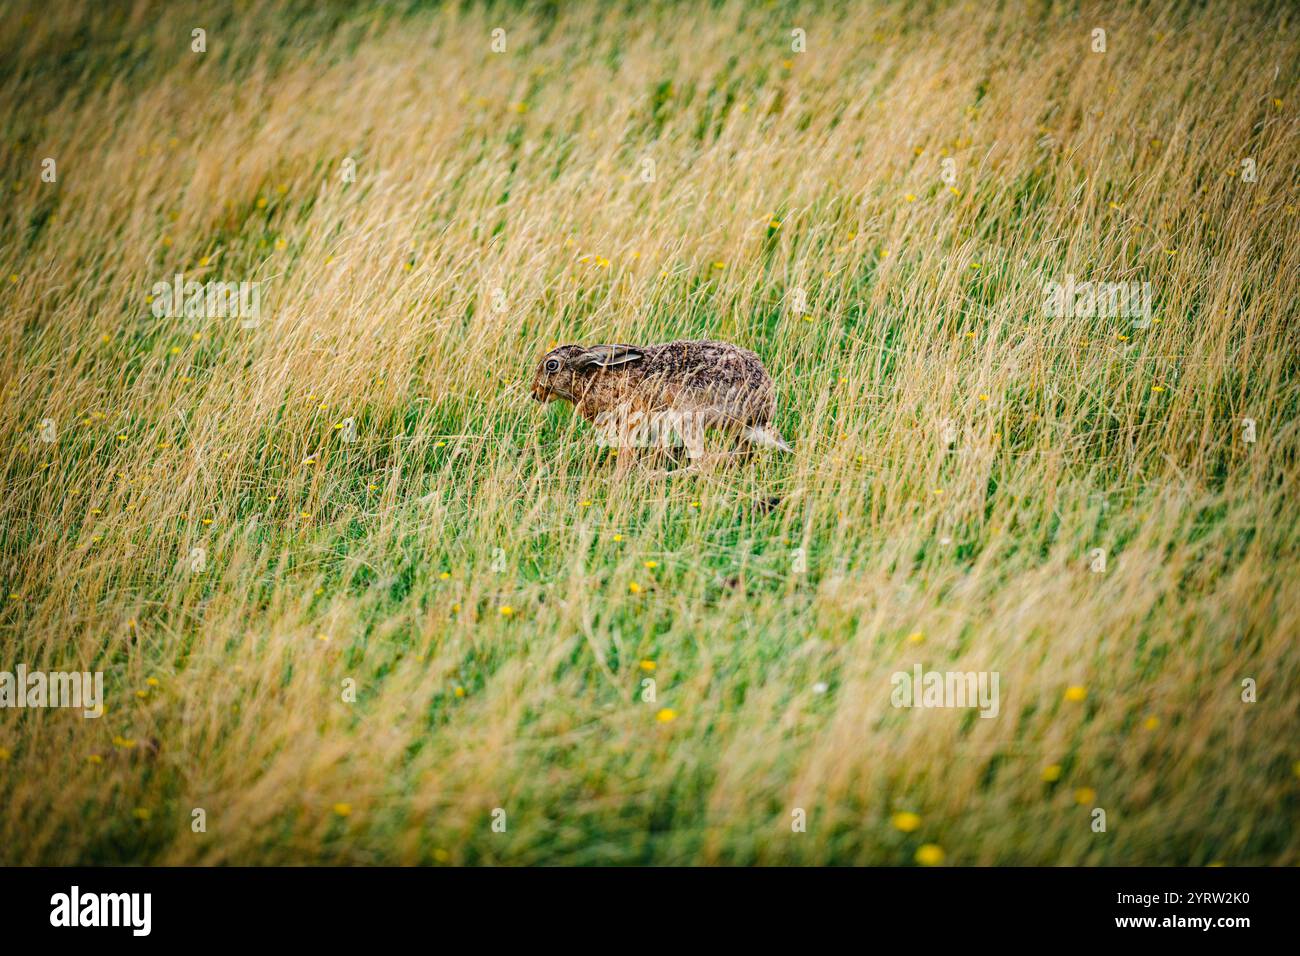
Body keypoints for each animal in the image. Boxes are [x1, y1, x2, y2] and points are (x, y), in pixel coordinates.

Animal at [531, 340, 792, 471]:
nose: (535, 393)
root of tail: (761, 410)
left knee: (702, 462)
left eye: (551, 365)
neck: (589, 376)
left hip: (687, 416)